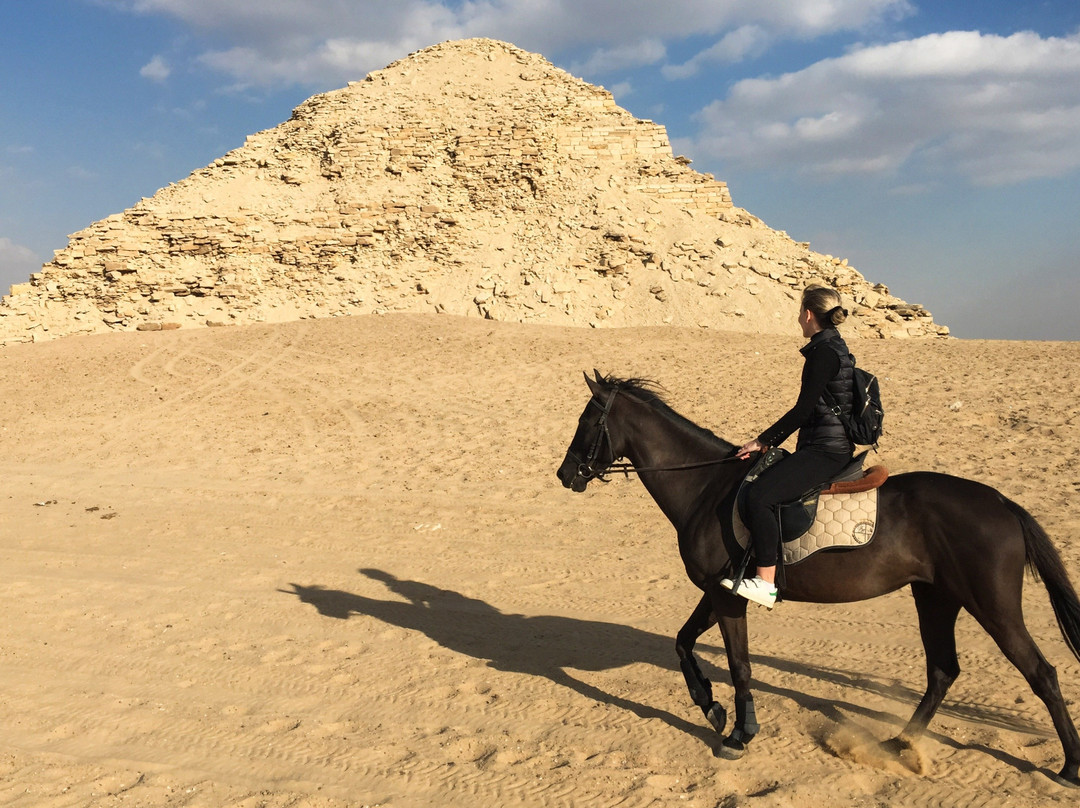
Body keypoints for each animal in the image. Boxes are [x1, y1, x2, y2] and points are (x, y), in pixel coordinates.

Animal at [556, 371, 1080, 786]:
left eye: (587, 422)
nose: (565, 474)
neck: (707, 488)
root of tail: (1000, 501)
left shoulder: (730, 600)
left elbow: (739, 665)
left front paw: (740, 734)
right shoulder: (719, 591)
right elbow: (683, 642)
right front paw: (710, 706)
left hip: (991, 605)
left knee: (1041, 674)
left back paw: (1070, 767)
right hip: (935, 598)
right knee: (942, 671)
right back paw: (899, 744)